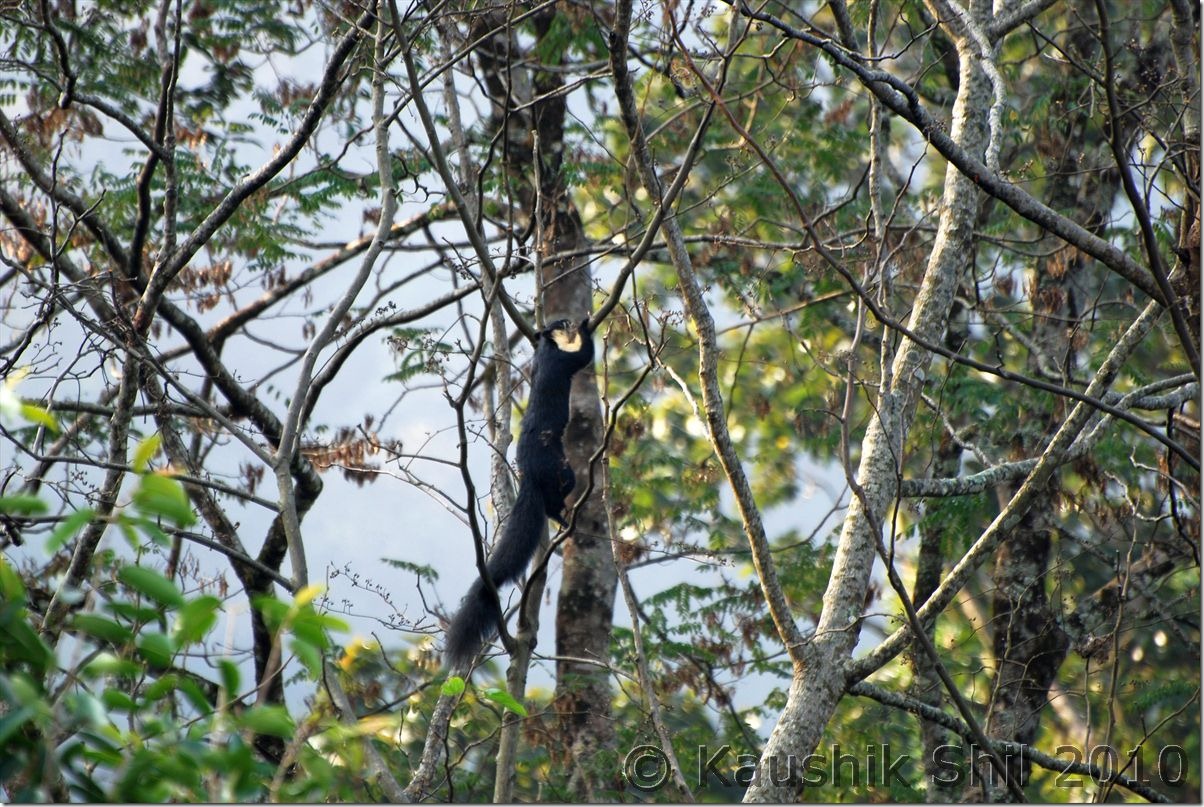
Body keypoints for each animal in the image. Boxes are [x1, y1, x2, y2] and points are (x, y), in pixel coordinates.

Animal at [443, 317, 592, 669]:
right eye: (561, 322)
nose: (569, 321)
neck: (546, 349)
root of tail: (529, 479)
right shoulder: (560, 362)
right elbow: (583, 356)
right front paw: (587, 326)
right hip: (562, 473)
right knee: (554, 501)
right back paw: (562, 518)